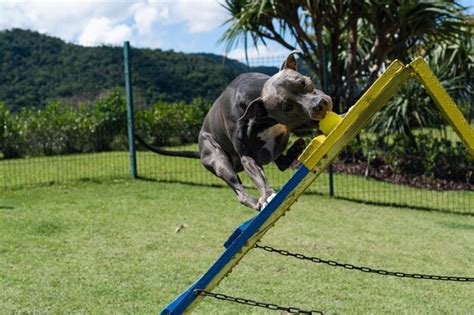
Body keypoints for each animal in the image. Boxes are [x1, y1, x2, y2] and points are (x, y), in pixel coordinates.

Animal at [135, 51, 332, 210]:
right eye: (287, 106)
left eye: (303, 82)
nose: (319, 105)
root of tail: (199, 150)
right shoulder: (247, 157)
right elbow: (259, 178)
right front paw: (268, 195)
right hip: (220, 160)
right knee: (240, 192)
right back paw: (256, 202)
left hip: (274, 145)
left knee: (280, 162)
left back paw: (297, 147)